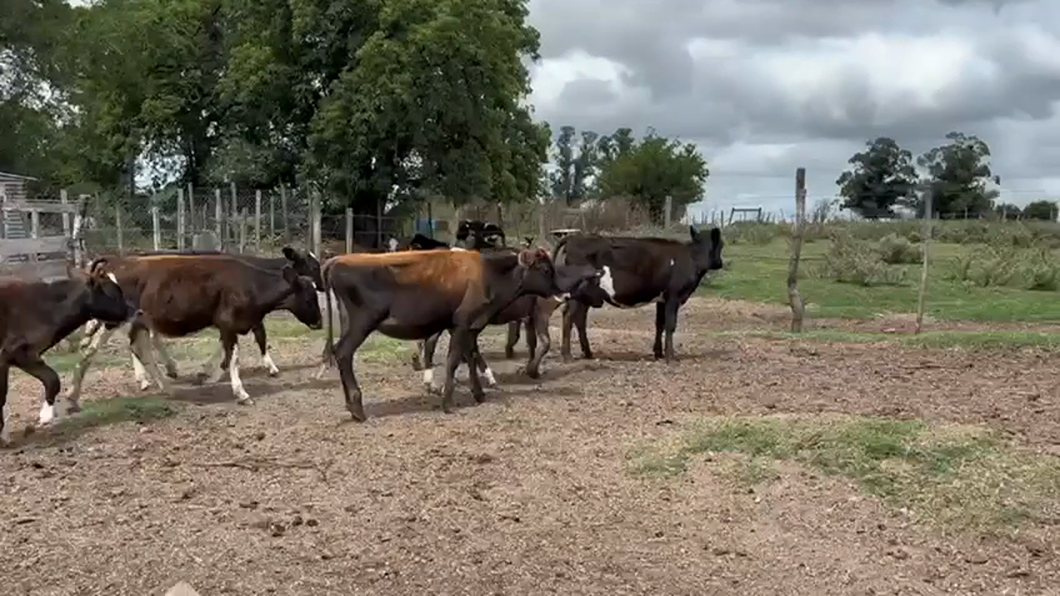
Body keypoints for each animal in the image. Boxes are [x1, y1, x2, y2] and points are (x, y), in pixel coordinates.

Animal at [0, 257, 131, 443]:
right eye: (113, 291)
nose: (135, 311)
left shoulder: (22, 357)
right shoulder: (14, 353)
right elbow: (52, 379)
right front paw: (45, 416)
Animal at [66, 250, 322, 407]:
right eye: (310, 298)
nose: (320, 322)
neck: (251, 283)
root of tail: (116, 262)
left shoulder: (235, 324)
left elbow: (229, 352)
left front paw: (210, 376)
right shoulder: (229, 322)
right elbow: (235, 355)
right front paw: (242, 392)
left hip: (139, 320)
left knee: (140, 348)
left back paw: (166, 387)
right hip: (114, 320)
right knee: (91, 350)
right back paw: (72, 396)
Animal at [313, 244, 597, 417]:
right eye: (545, 269)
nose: (564, 292)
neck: (489, 275)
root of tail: (337, 260)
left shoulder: (470, 326)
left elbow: (469, 357)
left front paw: (478, 393)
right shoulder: (461, 324)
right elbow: (453, 360)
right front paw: (448, 403)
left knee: (338, 352)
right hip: (361, 323)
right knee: (344, 353)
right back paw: (357, 407)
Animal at [555, 223, 720, 360]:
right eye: (720, 244)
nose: (720, 263)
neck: (692, 257)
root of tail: (574, 238)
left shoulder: (662, 298)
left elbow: (659, 324)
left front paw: (658, 353)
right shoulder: (674, 296)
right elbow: (670, 325)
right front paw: (670, 357)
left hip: (585, 296)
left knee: (579, 319)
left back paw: (588, 353)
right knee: (569, 317)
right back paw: (567, 355)